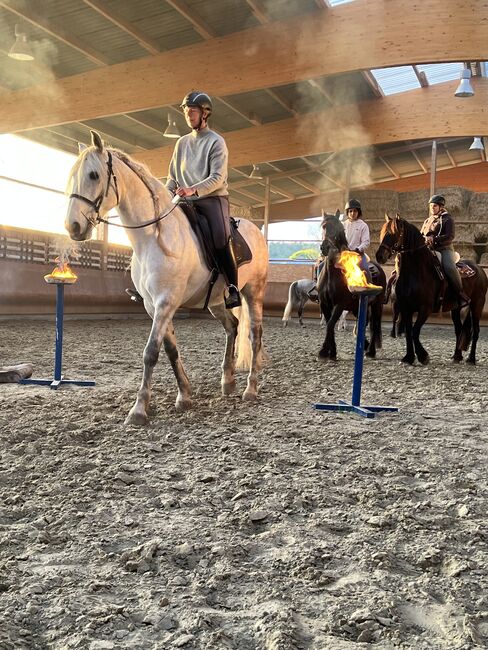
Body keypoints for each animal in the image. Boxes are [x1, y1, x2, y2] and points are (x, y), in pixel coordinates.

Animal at [64, 132, 268, 426]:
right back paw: (227, 382)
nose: (73, 227)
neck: (154, 238)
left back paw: (250, 389)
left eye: (93, 175)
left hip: (254, 292)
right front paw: (184, 396)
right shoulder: (154, 306)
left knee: (254, 335)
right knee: (232, 326)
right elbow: (171, 350)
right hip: (217, 301)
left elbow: (151, 352)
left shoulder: (165, 302)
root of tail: (255, 229)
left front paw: (139, 409)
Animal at [316, 215, 386, 362]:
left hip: (376, 305)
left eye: (338, 228)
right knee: (364, 323)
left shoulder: (340, 304)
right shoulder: (325, 304)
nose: (325, 247)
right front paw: (332, 352)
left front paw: (324, 351)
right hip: (356, 307)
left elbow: (330, 324)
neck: (332, 274)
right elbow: (330, 324)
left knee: (375, 325)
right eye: (323, 226)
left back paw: (370, 351)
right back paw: (365, 345)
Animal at [376, 214, 486, 362]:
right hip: (456, 308)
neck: (417, 271)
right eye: (382, 233)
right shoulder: (405, 308)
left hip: (477, 305)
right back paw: (456, 355)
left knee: (476, 331)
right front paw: (409, 357)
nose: (379, 256)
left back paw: (471, 359)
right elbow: (409, 332)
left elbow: (415, 331)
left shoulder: (425, 309)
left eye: (394, 233)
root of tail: (480, 269)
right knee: (459, 329)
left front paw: (423, 356)